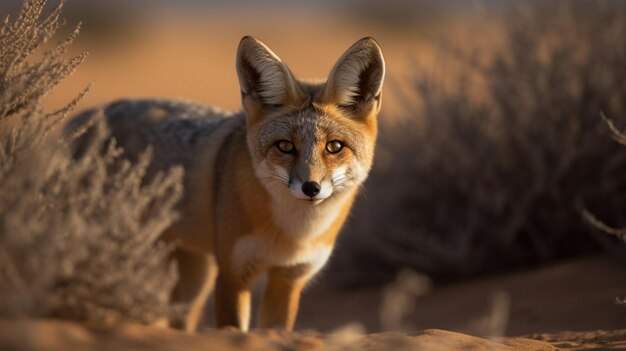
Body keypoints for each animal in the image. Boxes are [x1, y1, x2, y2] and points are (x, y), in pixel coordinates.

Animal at [67, 35, 380, 332]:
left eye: (334, 147)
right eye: (285, 146)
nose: (311, 188)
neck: (294, 234)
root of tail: (79, 118)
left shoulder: (288, 280)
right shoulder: (232, 274)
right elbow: (233, 329)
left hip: (195, 273)